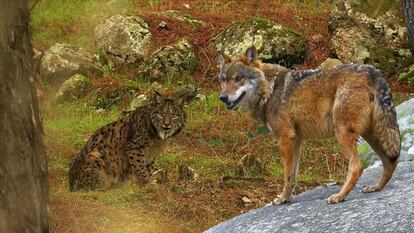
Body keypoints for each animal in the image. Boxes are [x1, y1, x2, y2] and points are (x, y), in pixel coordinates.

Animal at [217, 46, 402, 204]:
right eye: (224, 80)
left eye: (238, 79)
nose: (222, 98)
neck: (270, 89)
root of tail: (373, 72)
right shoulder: (296, 140)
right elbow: (293, 174)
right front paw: (286, 198)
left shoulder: (285, 138)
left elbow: (286, 175)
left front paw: (282, 199)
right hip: (372, 135)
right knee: (390, 161)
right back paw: (376, 187)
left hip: (343, 134)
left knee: (357, 167)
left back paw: (339, 196)